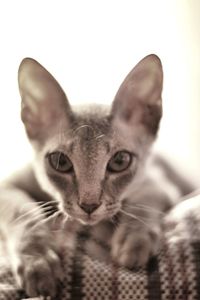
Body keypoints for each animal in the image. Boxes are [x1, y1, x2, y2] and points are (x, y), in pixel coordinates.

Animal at [0, 54, 191, 298]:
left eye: (120, 161)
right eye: (60, 162)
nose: (89, 205)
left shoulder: (157, 183)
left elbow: (142, 208)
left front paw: (134, 242)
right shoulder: (7, 186)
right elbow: (23, 213)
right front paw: (38, 263)